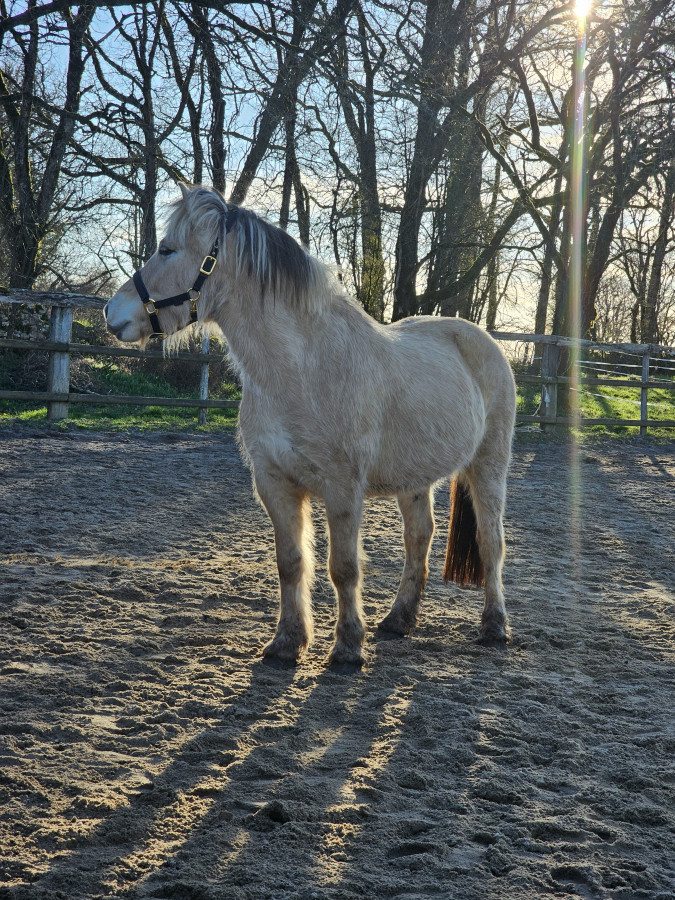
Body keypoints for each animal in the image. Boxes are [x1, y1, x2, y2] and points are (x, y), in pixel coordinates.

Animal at [105, 184, 516, 667]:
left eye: (167, 249)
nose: (112, 311)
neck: (301, 370)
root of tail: (482, 339)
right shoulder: (274, 483)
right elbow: (290, 563)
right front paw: (287, 641)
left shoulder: (342, 487)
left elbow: (344, 568)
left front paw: (348, 648)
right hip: (415, 479)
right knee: (419, 539)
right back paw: (398, 620)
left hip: (488, 466)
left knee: (491, 542)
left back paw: (494, 626)